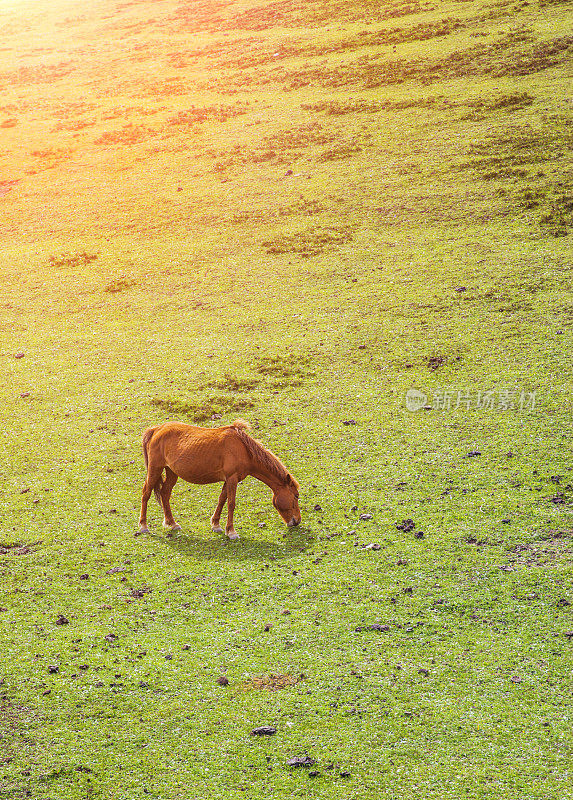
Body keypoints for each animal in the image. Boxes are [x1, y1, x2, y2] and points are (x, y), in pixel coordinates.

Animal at [137, 418, 302, 536]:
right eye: (295, 496)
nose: (297, 521)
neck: (243, 449)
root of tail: (156, 429)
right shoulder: (232, 478)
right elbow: (231, 503)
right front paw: (231, 531)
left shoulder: (229, 479)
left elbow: (222, 499)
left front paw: (216, 525)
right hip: (155, 469)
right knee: (146, 493)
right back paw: (144, 526)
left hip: (172, 472)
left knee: (165, 493)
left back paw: (172, 523)